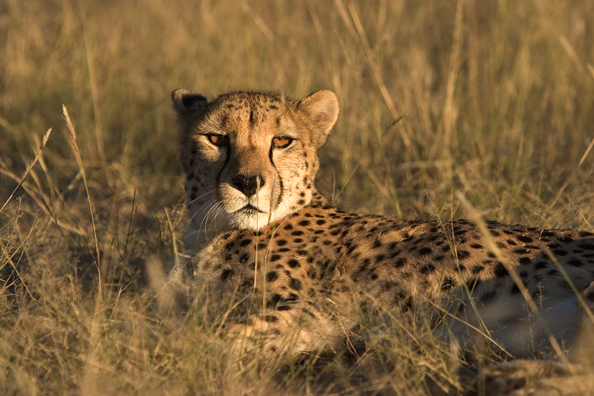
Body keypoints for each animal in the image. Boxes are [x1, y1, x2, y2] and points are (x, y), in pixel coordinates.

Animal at [166, 88, 592, 360]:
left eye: (282, 141)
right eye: (216, 138)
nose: (248, 182)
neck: (210, 232)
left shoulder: (323, 311)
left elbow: (204, 338)